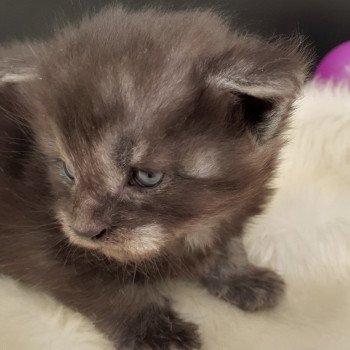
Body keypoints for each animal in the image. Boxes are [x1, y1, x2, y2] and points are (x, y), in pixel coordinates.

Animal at [0, 6, 308, 350]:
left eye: (146, 176)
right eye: (67, 170)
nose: (83, 231)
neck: (184, 234)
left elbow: (228, 244)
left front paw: (242, 275)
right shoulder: (44, 245)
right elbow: (112, 290)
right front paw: (158, 331)